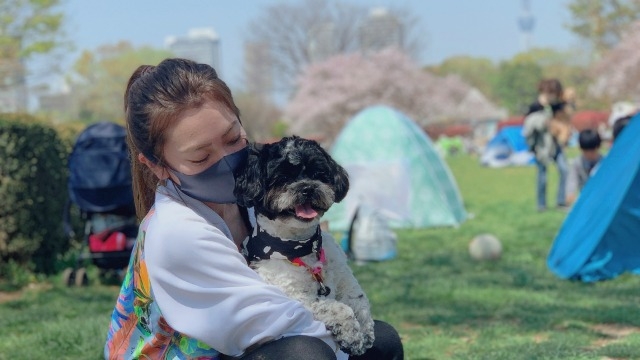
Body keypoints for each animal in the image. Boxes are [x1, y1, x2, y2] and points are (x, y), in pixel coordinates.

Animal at [234, 136, 376, 356]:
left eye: (317, 174)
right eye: (283, 177)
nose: (307, 188)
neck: (302, 247)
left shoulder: (344, 276)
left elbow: (358, 299)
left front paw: (366, 332)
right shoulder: (296, 298)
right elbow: (339, 308)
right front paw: (352, 336)